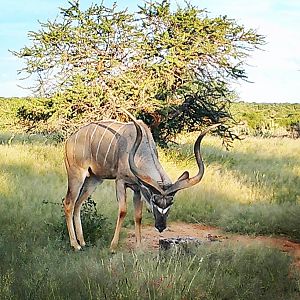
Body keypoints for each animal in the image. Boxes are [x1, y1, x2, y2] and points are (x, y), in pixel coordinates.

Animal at [63, 111, 219, 252]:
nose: (161, 226)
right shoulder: (120, 182)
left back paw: (82, 242)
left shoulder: (138, 188)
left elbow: (138, 216)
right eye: (155, 201)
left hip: (94, 179)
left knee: (78, 204)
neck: (140, 152)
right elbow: (123, 211)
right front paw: (113, 247)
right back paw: (75, 245)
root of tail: (69, 140)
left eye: (171, 202)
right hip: (77, 175)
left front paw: (138, 247)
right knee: (69, 203)